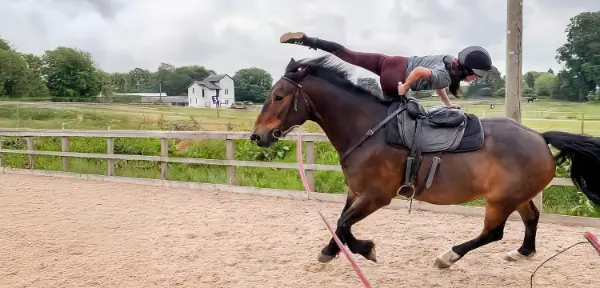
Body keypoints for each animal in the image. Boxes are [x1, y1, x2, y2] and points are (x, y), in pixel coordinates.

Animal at [247, 55, 600, 268]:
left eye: (278, 96)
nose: (257, 136)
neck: (370, 129)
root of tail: (540, 137)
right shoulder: (356, 192)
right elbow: (339, 223)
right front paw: (330, 251)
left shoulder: (376, 196)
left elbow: (346, 225)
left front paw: (366, 249)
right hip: (517, 195)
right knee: (531, 218)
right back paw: (523, 251)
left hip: (501, 200)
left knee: (493, 233)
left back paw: (449, 256)